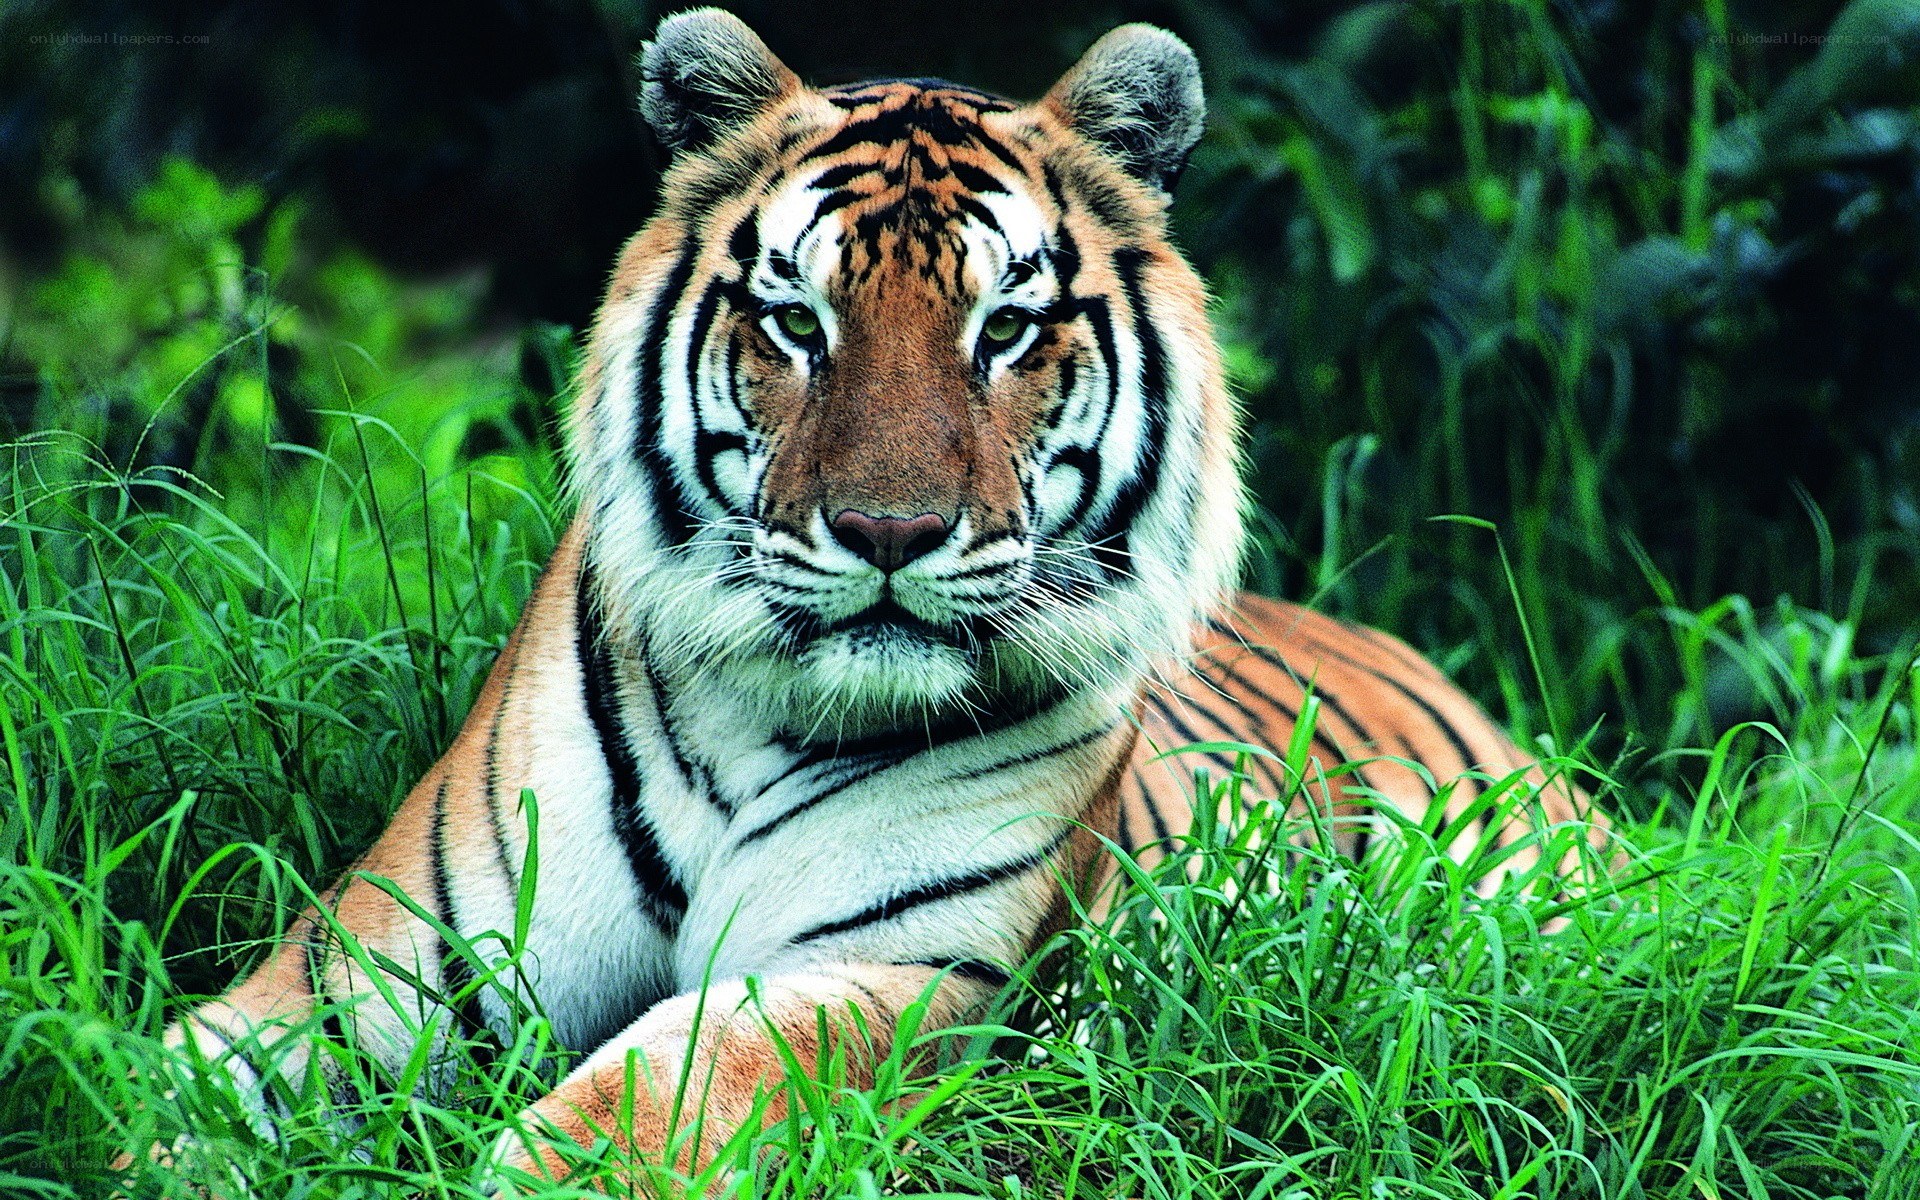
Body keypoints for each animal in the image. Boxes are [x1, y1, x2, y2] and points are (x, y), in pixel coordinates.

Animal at [146, 10, 1603, 1194]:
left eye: (1005, 331)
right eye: (798, 321)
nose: (889, 532)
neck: (745, 734)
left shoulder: (909, 972)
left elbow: (662, 1088)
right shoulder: (369, 976)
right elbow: (170, 1084)